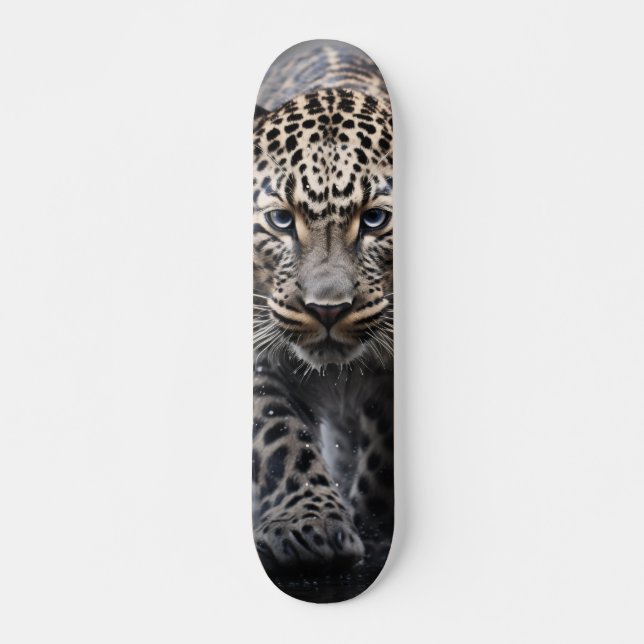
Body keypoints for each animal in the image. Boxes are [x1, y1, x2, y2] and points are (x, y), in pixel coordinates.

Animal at [252, 40, 394, 574]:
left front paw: (372, 517)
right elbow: (278, 436)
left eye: (374, 220)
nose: (326, 310)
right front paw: (307, 525)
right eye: (280, 220)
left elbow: (384, 444)